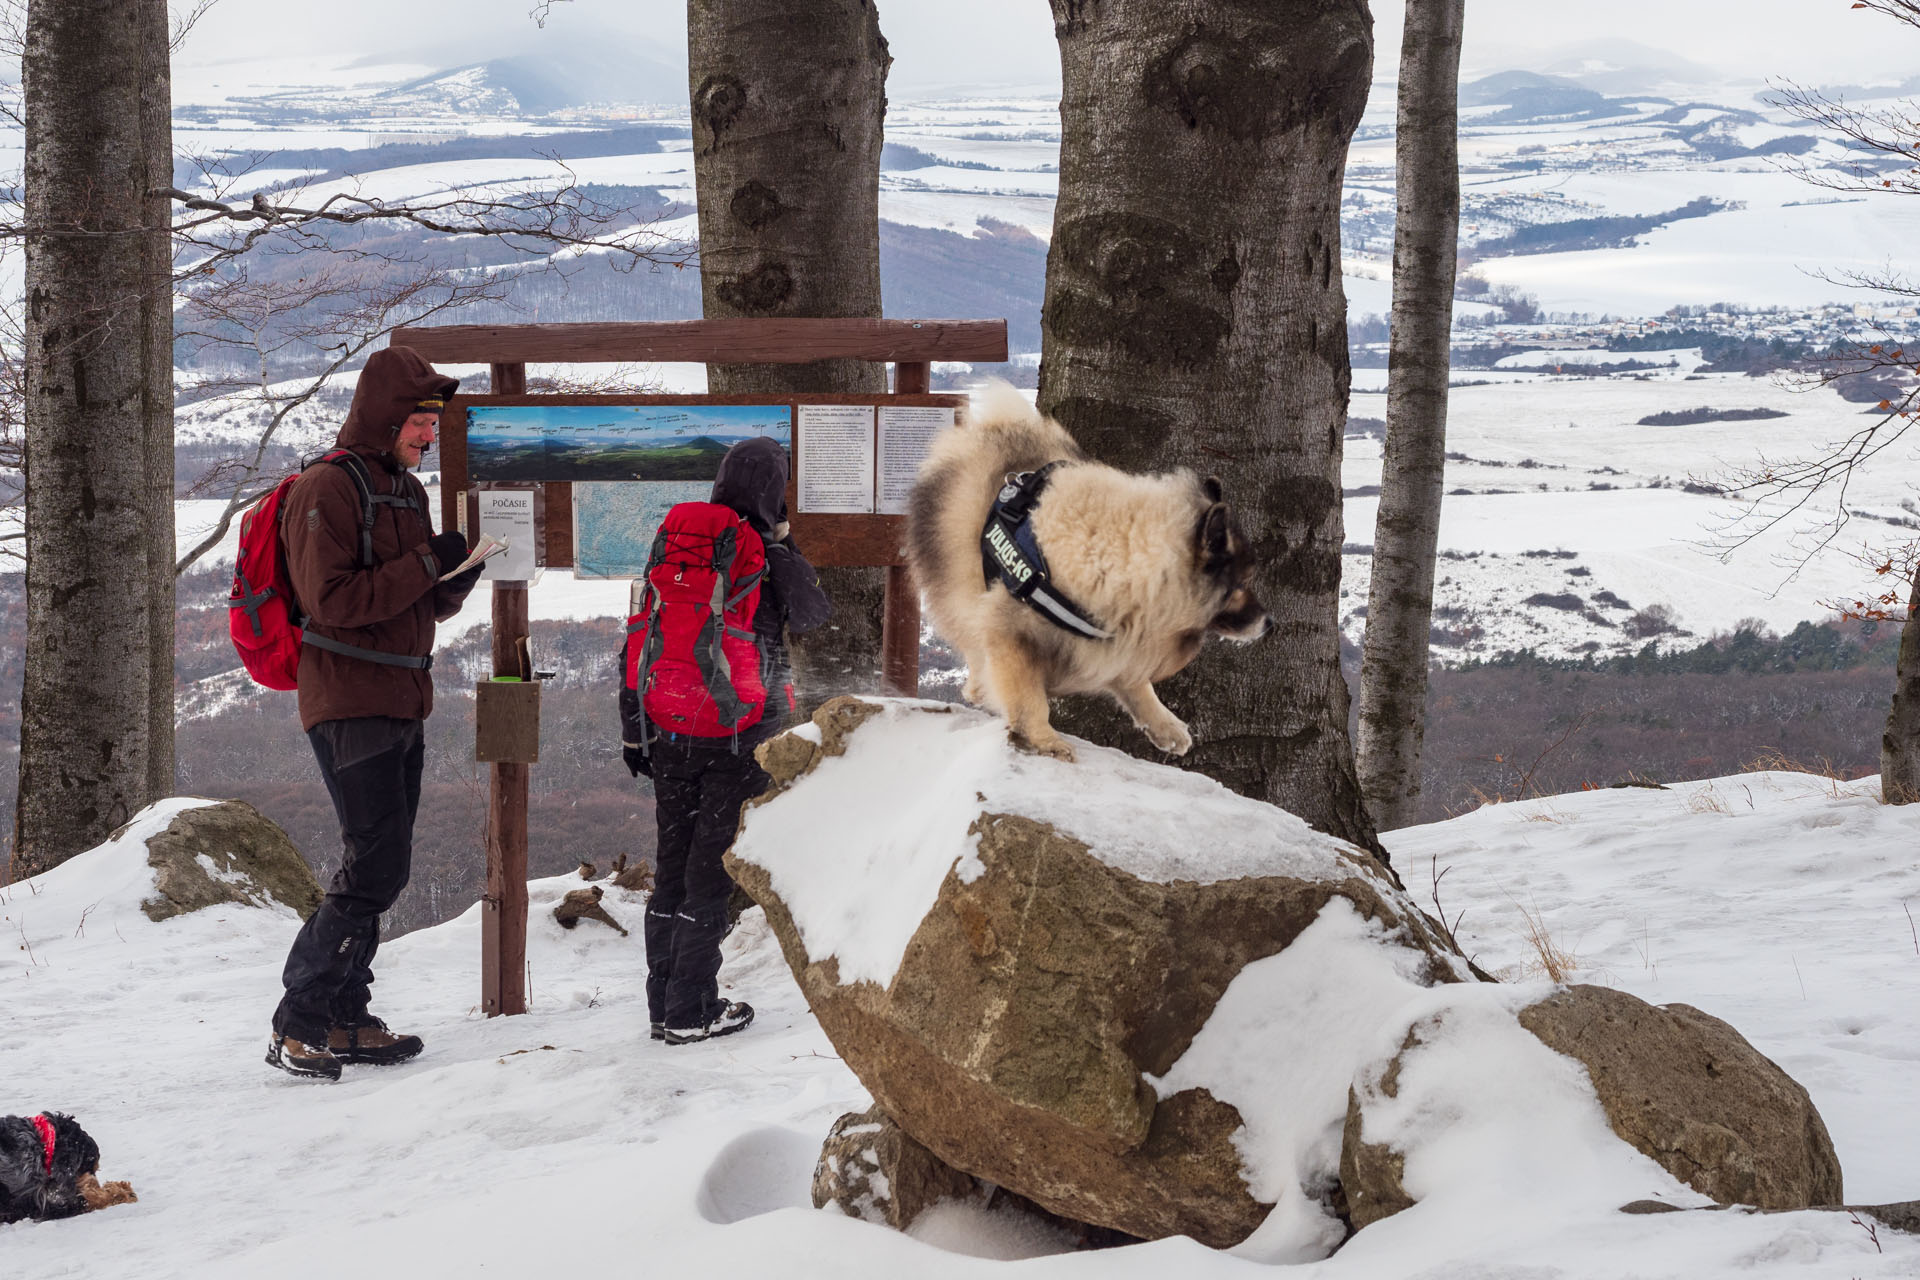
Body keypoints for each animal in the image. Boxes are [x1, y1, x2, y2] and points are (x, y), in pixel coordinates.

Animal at [906, 379, 1267, 759]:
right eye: (1241, 584)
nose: (1269, 623)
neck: (1119, 556)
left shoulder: (1116, 641)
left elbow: (1137, 685)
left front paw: (1165, 727)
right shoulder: (1014, 633)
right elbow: (1029, 698)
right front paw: (1044, 739)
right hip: (958, 577)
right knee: (970, 637)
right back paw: (977, 687)